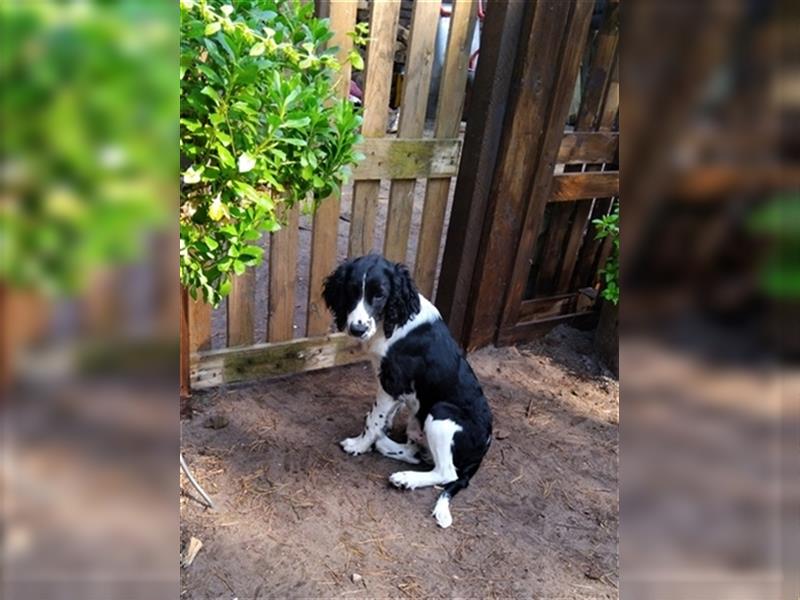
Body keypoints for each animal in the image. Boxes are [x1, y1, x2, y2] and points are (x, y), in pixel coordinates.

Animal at [322, 255, 490, 528]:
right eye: (352, 291)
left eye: (380, 295)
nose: (357, 329)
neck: (393, 321)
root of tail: (482, 452)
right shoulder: (393, 385)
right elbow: (383, 416)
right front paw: (378, 436)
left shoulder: (393, 382)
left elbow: (374, 419)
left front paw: (359, 445)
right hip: (417, 423)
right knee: (419, 453)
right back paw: (388, 447)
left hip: (442, 413)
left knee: (446, 473)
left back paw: (406, 478)